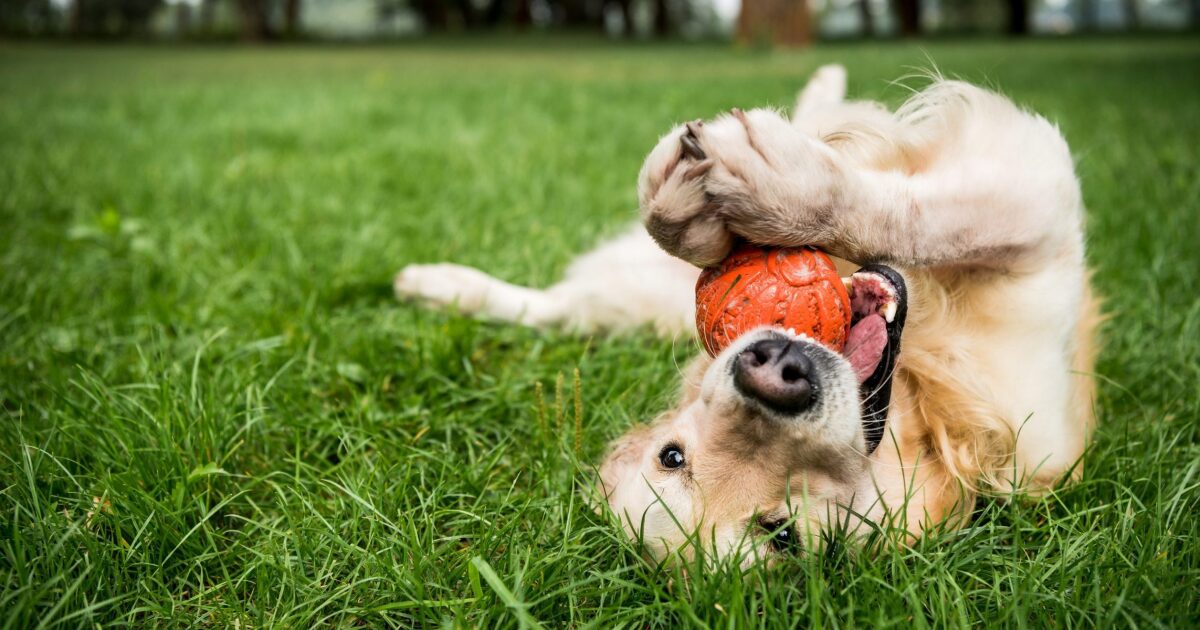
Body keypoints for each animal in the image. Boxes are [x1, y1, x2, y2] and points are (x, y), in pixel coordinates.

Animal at [393, 66, 1099, 561]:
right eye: (674, 456)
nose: (774, 370)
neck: (920, 400)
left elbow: (917, 212)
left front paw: (766, 190)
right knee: (557, 308)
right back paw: (436, 285)